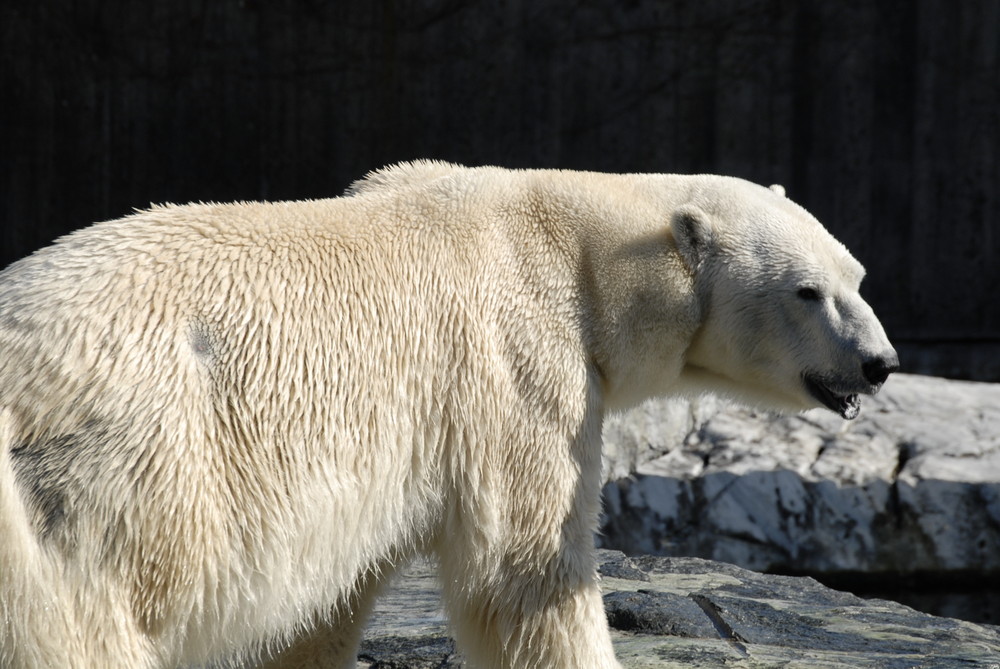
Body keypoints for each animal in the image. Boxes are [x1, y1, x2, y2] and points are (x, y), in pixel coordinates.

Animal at [0, 163, 900, 668]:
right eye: (806, 291)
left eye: (857, 274)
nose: (878, 361)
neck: (578, 242)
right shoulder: (516, 365)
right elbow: (525, 571)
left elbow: (323, 610)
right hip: (121, 478)